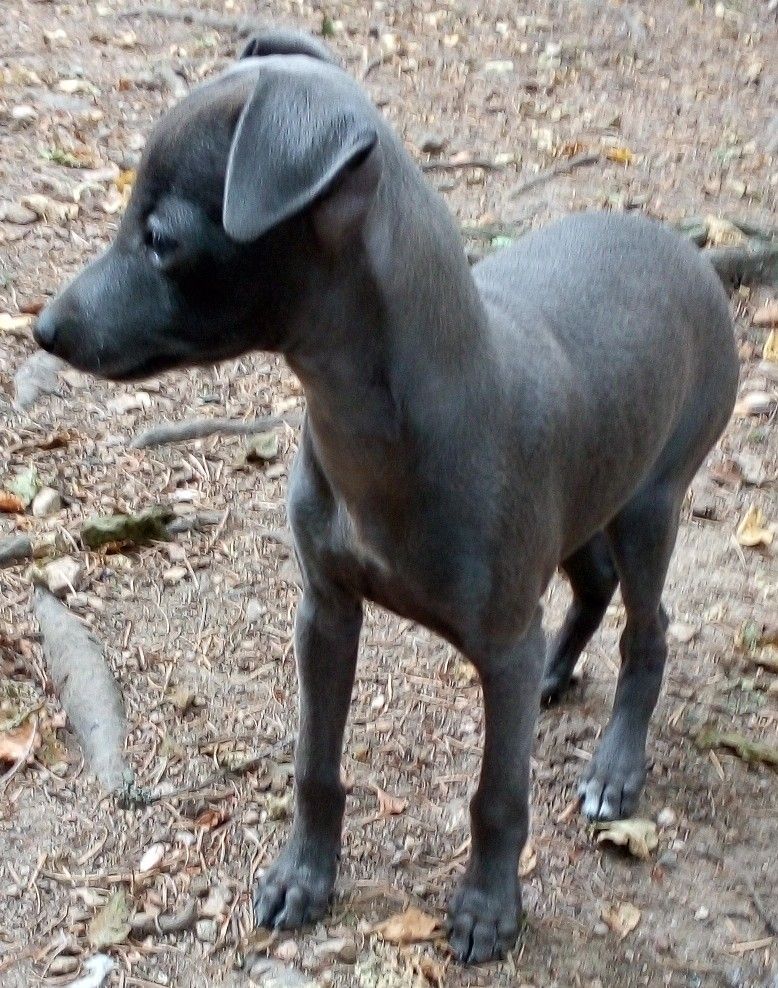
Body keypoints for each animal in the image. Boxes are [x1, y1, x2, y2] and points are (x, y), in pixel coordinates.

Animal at [34, 29, 738, 963]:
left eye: (161, 239)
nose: (44, 329)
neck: (382, 436)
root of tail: (684, 247)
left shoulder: (498, 643)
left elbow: (497, 797)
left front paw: (487, 909)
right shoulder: (325, 610)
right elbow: (315, 765)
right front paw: (303, 878)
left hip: (651, 504)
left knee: (648, 630)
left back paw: (615, 771)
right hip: (591, 495)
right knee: (590, 588)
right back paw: (556, 672)